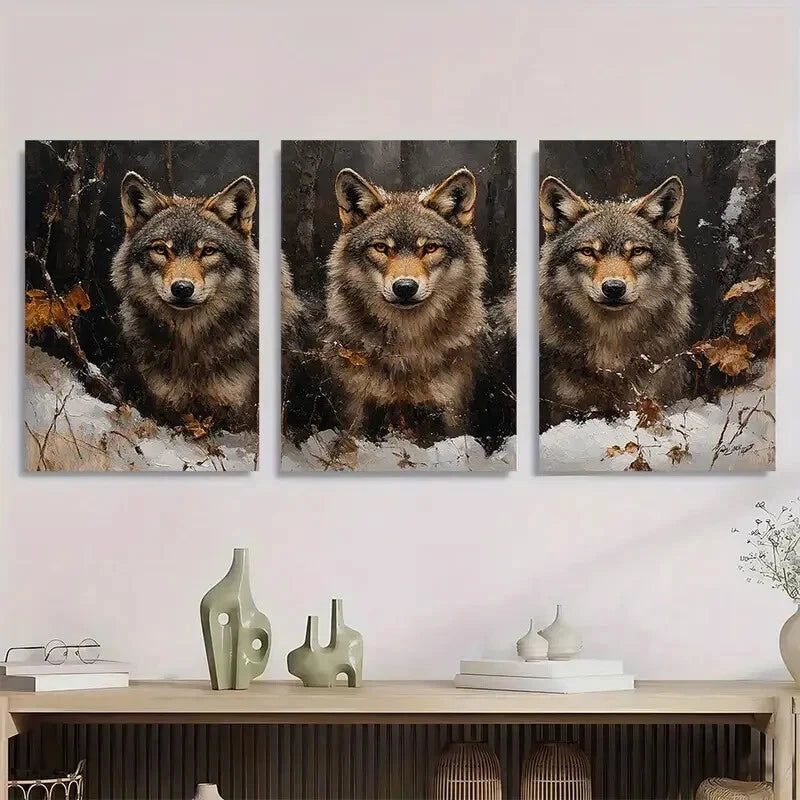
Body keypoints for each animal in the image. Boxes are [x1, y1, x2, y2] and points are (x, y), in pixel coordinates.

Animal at [324, 167, 487, 436]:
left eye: (430, 248)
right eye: (381, 248)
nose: (404, 288)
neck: (407, 346)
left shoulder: (453, 411)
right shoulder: (354, 407)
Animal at [539, 175, 693, 428]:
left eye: (637, 251)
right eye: (588, 251)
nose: (613, 288)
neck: (610, 350)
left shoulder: (651, 398)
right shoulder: (565, 408)